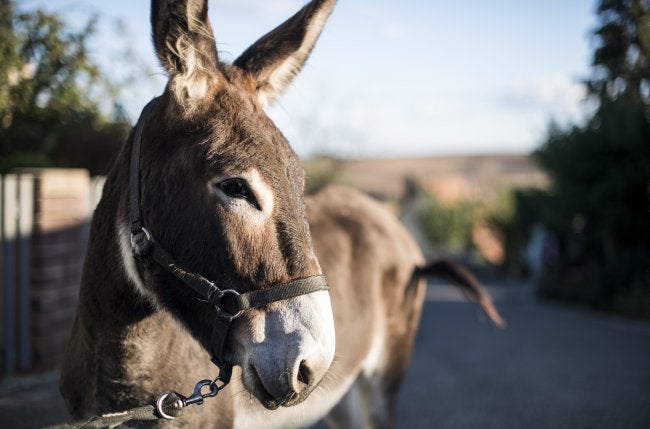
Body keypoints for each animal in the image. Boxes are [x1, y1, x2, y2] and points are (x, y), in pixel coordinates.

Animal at [60, 1, 503, 428]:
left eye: (299, 180)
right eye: (235, 187)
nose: (312, 365)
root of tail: (386, 219)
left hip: (383, 378)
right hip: (338, 396)